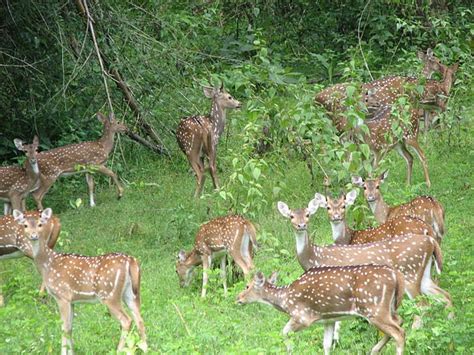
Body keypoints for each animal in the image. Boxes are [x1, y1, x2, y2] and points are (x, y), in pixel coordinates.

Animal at [12, 209, 146, 355]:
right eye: (25, 225)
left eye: (40, 224)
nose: (34, 236)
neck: (47, 264)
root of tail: (131, 261)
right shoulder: (72, 300)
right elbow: (70, 328)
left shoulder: (62, 295)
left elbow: (64, 328)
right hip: (132, 293)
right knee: (140, 319)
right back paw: (146, 349)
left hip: (109, 294)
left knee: (126, 320)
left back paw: (119, 350)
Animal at [237, 268, 404, 355]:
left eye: (247, 286)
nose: (238, 298)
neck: (285, 300)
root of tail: (396, 276)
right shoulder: (328, 319)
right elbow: (327, 344)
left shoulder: (302, 316)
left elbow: (283, 332)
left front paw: (290, 350)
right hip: (388, 308)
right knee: (400, 321)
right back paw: (374, 349)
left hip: (374, 309)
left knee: (399, 333)